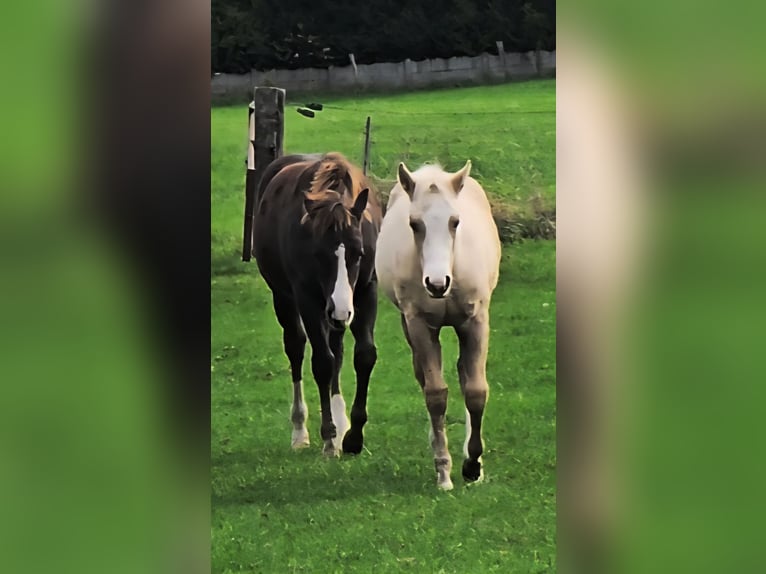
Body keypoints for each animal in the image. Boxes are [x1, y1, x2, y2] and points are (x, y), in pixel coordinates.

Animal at [252, 152, 382, 457]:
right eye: (318, 254)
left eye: (359, 253)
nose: (341, 310)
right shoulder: (308, 299)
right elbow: (322, 362)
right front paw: (329, 438)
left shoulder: (365, 291)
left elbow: (364, 355)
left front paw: (353, 436)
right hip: (286, 299)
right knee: (297, 348)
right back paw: (300, 430)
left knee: (337, 350)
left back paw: (341, 421)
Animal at [374, 161, 501, 489]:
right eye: (414, 224)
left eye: (455, 222)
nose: (436, 284)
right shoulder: (418, 323)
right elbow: (435, 394)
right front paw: (444, 471)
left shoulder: (476, 320)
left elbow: (476, 390)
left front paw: (473, 465)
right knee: (426, 378)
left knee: (464, 373)